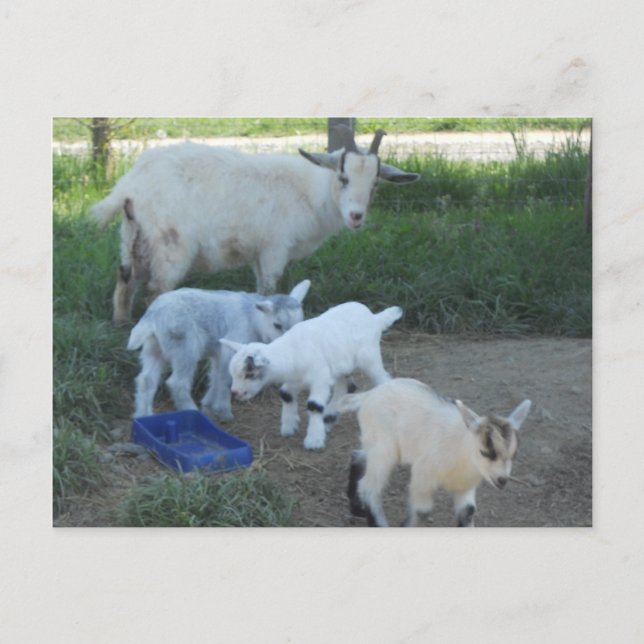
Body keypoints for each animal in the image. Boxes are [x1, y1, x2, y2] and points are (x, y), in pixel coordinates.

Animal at [91, 127, 419, 325]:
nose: (356, 216)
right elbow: (269, 288)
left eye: (375, 183)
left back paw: (121, 323)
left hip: (133, 236)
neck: (312, 190)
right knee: (155, 290)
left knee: (125, 278)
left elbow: (261, 288)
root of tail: (129, 185)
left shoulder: (259, 253)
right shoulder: (275, 248)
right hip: (168, 245)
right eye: (343, 177)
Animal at [127, 279, 310, 421]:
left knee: (146, 380)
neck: (253, 319)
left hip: (153, 348)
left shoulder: (218, 352)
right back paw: (190, 410)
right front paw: (223, 412)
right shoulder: (232, 347)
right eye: (277, 325)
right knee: (177, 382)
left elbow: (215, 376)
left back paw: (143, 415)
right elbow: (225, 378)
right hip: (185, 347)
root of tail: (153, 316)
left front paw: (209, 406)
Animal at [220, 301, 403, 450]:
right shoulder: (296, 379)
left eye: (249, 374)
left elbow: (314, 405)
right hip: (339, 364)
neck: (292, 351)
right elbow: (285, 394)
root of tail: (375, 318)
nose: (235, 393)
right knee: (346, 386)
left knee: (383, 380)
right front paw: (289, 427)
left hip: (369, 356)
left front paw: (313, 441)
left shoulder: (320, 378)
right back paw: (328, 418)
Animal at [340, 378, 532, 527]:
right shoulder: (422, 474)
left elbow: (468, 511)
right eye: (484, 452)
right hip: (385, 447)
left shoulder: (465, 486)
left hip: (376, 444)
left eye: (514, 455)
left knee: (358, 455)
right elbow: (423, 511)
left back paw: (356, 509)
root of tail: (368, 395)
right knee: (369, 487)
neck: (462, 452)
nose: (502, 480)